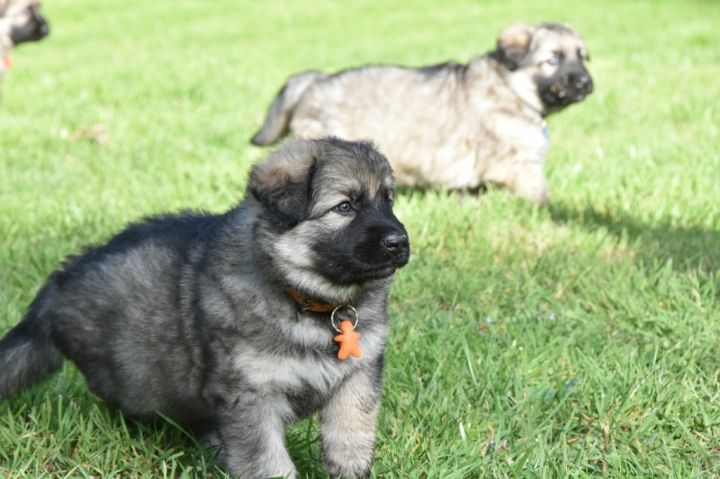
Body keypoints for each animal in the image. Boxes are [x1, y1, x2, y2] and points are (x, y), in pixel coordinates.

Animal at [0, 138, 410, 479]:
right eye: (345, 207)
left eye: (387, 200)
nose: (400, 241)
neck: (310, 301)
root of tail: (60, 282)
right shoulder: (250, 395)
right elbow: (266, 459)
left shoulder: (358, 375)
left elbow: (351, 431)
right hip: (136, 379)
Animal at [251, 22, 593, 204]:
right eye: (553, 60)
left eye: (582, 57)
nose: (586, 83)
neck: (513, 87)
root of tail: (314, 80)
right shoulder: (520, 167)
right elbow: (541, 197)